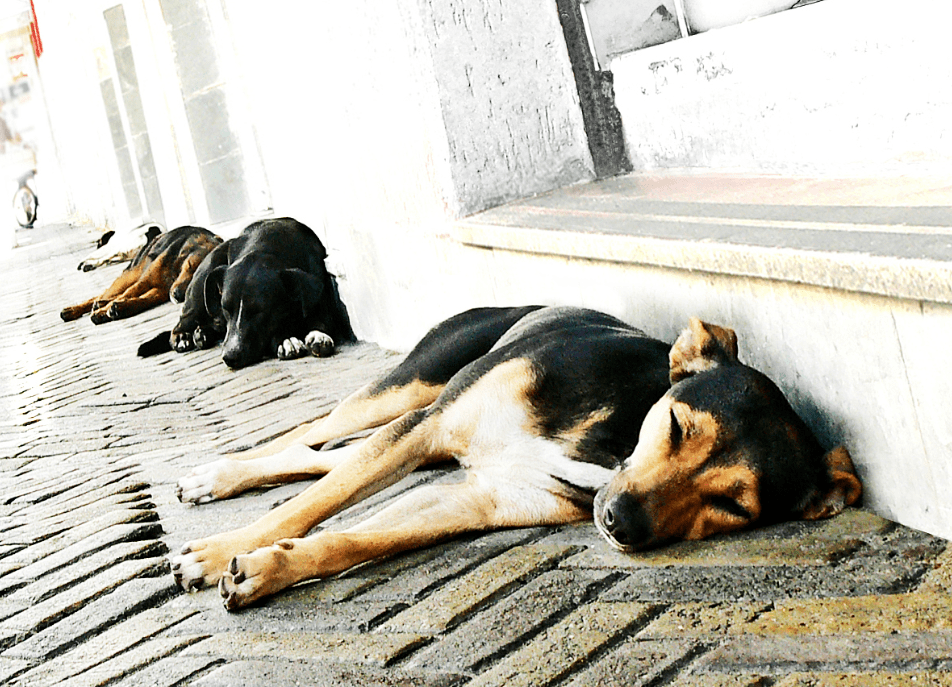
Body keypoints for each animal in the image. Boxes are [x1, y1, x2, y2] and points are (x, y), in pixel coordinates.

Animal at [61, 224, 221, 324]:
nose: (178, 296)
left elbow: (144, 300)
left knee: (107, 296)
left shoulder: (160, 291)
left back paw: (101, 304)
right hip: (131, 274)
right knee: (106, 293)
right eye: (190, 266)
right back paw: (75, 310)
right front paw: (105, 310)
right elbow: (129, 293)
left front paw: (119, 308)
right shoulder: (146, 281)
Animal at [138, 216, 354, 368]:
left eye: (261, 311)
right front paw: (286, 340)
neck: (266, 246)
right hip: (202, 283)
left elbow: (321, 318)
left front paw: (318, 335)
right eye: (226, 309)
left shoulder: (318, 288)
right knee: (183, 321)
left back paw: (202, 333)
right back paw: (184, 335)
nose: (229, 357)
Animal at [169, 306, 864, 612]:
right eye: (675, 426)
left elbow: (353, 538)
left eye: (731, 506)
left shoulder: (477, 496)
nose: (618, 522)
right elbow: (314, 506)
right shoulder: (432, 426)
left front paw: (268, 568)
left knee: (325, 456)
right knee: (318, 435)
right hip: (416, 390)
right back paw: (217, 475)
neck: (605, 447)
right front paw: (218, 551)